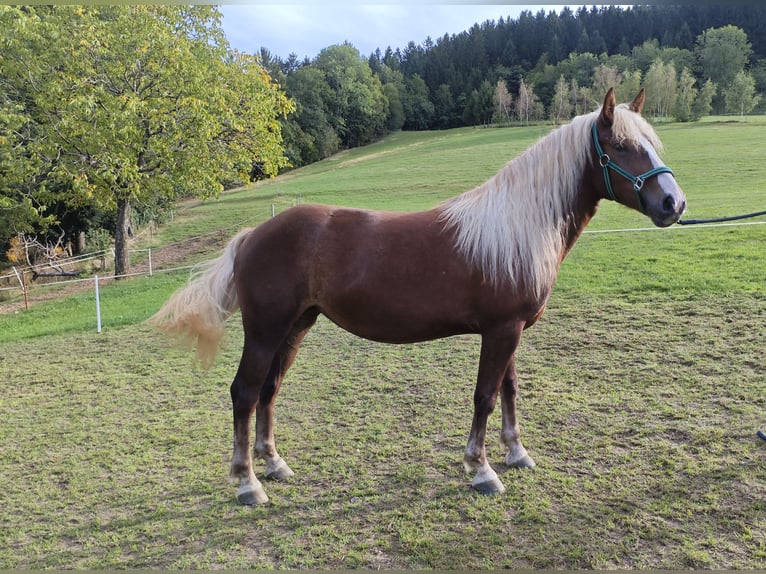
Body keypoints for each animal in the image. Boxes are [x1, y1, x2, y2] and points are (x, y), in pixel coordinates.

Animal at [150, 89, 686, 505]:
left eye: (651, 143)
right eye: (620, 145)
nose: (673, 203)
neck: (516, 227)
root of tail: (251, 236)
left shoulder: (510, 330)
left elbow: (509, 390)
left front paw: (517, 453)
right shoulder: (500, 331)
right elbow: (485, 396)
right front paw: (481, 470)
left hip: (295, 327)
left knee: (269, 390)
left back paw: (273, 465)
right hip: (265, 331)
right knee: (244, 393)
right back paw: (248, 484)